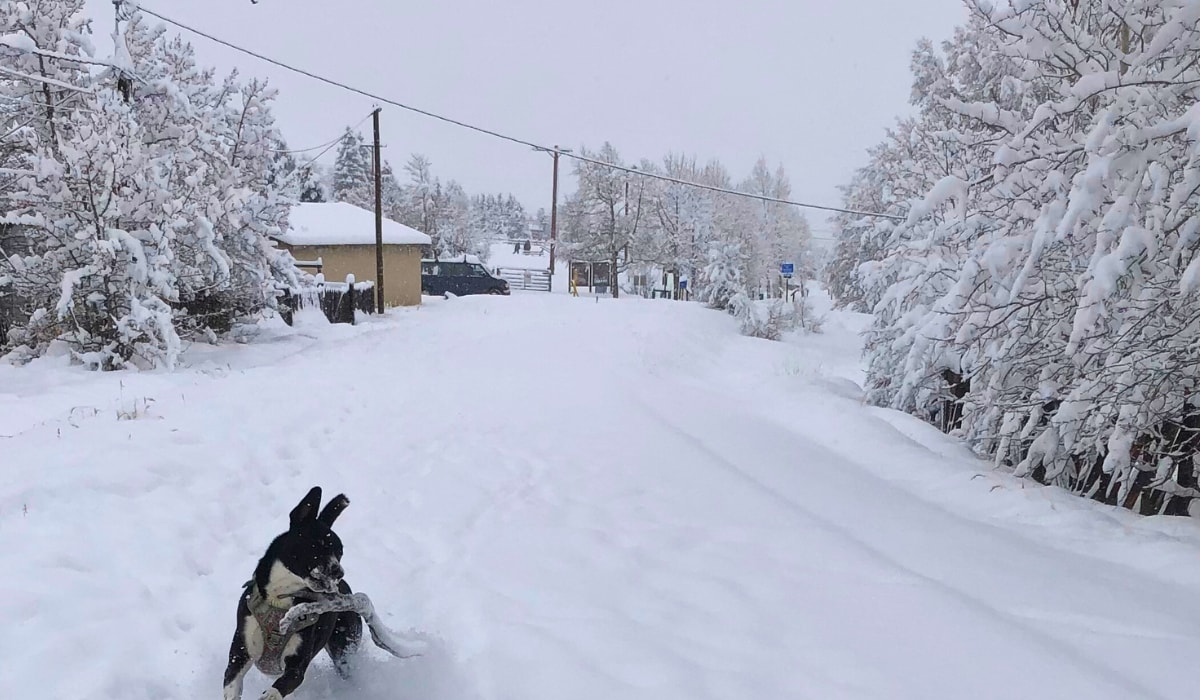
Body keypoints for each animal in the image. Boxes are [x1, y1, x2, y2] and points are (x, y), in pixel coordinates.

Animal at [222, 487, 360, 700]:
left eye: (340, 553)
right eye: (318, 544)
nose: (339, 572)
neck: (279, 598)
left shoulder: (297, 665)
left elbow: (284, 683)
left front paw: (269, 695)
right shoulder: (240, 653)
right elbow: (231, 683)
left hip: (344, 643)